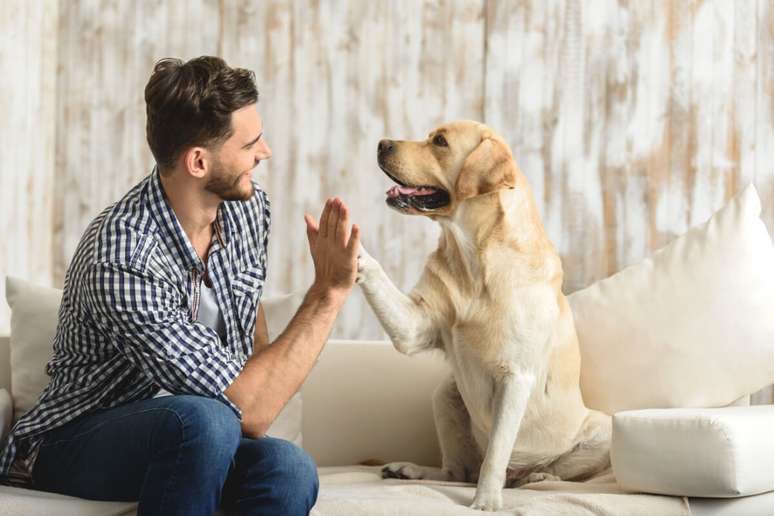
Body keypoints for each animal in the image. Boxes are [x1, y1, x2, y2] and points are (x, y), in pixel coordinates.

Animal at [356, 121, 612, 512]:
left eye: (440, 142)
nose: (383, 143)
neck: (473, 259)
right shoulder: (414, 326)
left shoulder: (515, 377)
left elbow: (496, 453)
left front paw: (486, 501)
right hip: (445, 395)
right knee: (457, 471)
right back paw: (410, 470)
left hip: (602, 430)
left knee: (548, 471)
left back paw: (536, 476)